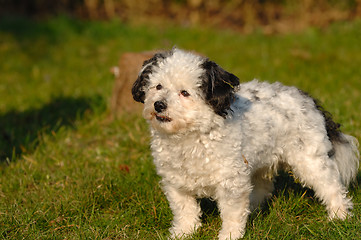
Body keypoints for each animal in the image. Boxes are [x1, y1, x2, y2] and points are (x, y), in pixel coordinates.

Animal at [131, 47, 358, 239]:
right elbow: (184, 210)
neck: (191, 137)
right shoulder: (176, 183)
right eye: (158, 86)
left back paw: (339, 216)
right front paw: (183, 233)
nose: (159, 105)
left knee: (332, 186)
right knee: (263, 187)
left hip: (310, 160)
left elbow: (231, 213)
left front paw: (229, 235)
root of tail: (308, 99)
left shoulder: (231, 182)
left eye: (184, 93)